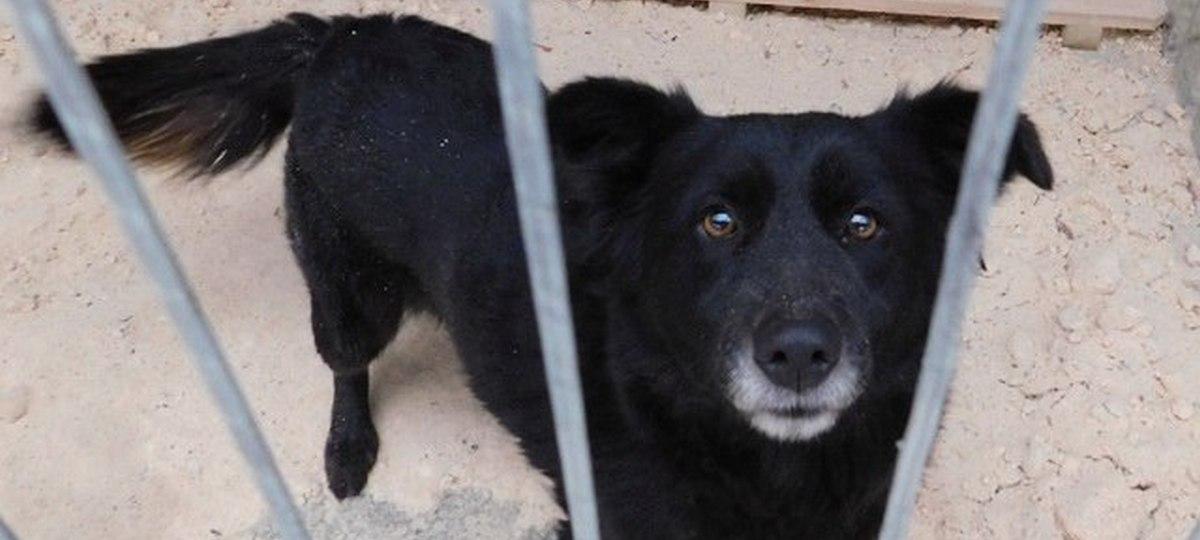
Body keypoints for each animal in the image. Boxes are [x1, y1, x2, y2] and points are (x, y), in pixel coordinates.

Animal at [30, 13, 1053, 539]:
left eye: (863, 225)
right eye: (716, 222)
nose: (798, 353)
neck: (774, 473)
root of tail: (346, 32)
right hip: (351, 291)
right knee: (346, 363)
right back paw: (349, 449)